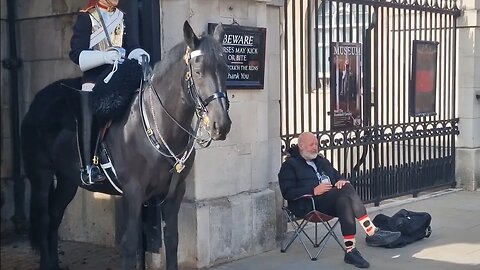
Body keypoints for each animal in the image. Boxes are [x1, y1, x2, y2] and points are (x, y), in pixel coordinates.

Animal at [21, 21, 232, 270]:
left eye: (226, 69)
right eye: (198, 72)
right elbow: (131, 244)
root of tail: (37, 102)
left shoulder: (173, 193)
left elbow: (172, 239)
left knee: (54, 216)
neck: (157, 126)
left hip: (67, 179)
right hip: (41, 176)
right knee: (44, 219)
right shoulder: (133, 192)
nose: (221, 125)